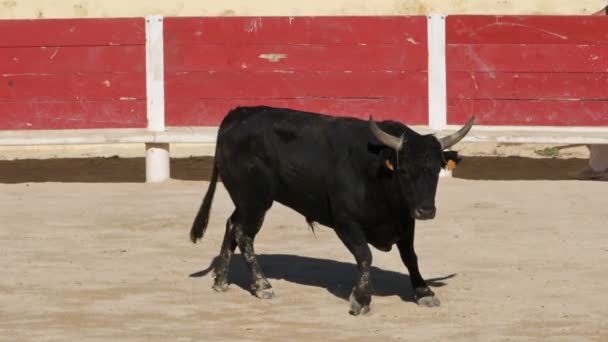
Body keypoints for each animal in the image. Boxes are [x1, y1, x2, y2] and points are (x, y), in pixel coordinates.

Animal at [190, 106, 476, 316]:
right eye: (404, 170)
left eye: (436, 169)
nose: (426, 210)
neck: (378, 174)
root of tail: (236, 114)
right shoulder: (346, 221)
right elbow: (365, 256)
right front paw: (361, 299)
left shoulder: (405, 222)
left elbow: (411, 258)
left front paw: (424, 293)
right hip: (255, 200)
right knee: (244, 233)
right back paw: (262, 286)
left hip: (246, 200)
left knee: (232, 225)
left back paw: (221, 281)